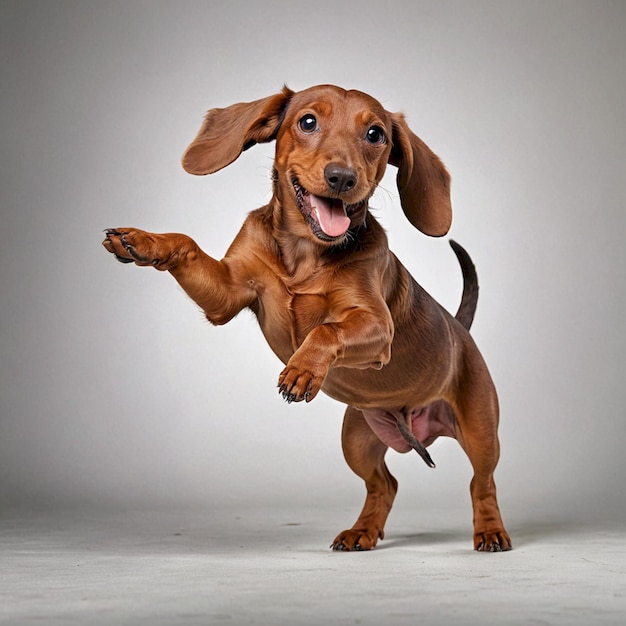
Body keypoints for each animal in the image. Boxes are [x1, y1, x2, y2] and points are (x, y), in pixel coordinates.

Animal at [102, 84, 510, 552]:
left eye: (375, 134)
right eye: (308, 122)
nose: (342, 178)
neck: (305, 252)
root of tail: (461, 330)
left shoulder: (377, 327)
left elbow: (326, 329)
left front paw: (302, 369)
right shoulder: (228, 293)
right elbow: (185, 244)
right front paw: (145, 241)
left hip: (480, 432)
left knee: (482, 483)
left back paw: (490, 530)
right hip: (356, 438)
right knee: (384, 484)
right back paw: (362, 532)